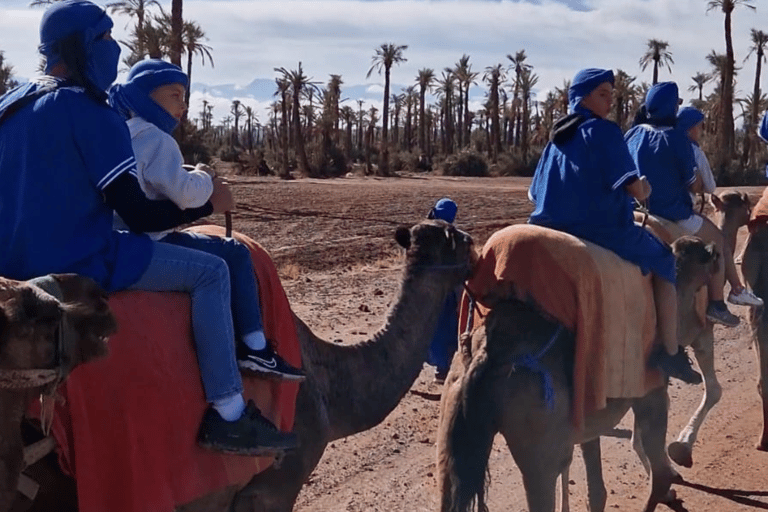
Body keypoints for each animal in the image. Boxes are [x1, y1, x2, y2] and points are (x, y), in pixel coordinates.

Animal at [438, 236, 720, 512]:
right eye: (706, 257)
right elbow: (658, 474)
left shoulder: (588, 418)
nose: (716, 251)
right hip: (538, 450)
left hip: (452, 426)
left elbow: (597, 491)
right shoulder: (651, 392)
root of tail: (487, 353)